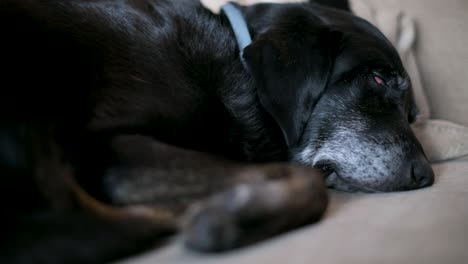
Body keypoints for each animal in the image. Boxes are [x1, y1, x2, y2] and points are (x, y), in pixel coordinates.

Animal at [0, 0, 434, 262]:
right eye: (377, 79)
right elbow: (305, 179)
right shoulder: (105, 145)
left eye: (413, 114)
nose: (426, 176)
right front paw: (229, 218)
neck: (234, 58)